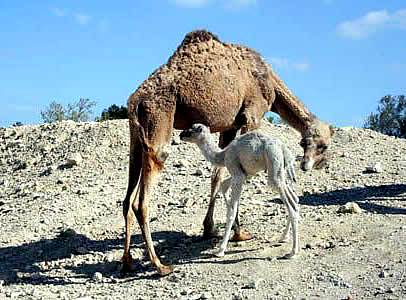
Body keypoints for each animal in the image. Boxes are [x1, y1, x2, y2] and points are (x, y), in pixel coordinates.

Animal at [121, 29, 334, 276]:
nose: (309, 165)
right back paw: (160, 265)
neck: (269, 79)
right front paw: (238, 234)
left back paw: (127, 262)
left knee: (127, 198)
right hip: (159, 120)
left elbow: (217, 175)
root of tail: (135, 101)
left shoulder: (229, 125)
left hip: (136, 137)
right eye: (321, 145)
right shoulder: (252, 113)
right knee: (142, 199)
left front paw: (210, 229)